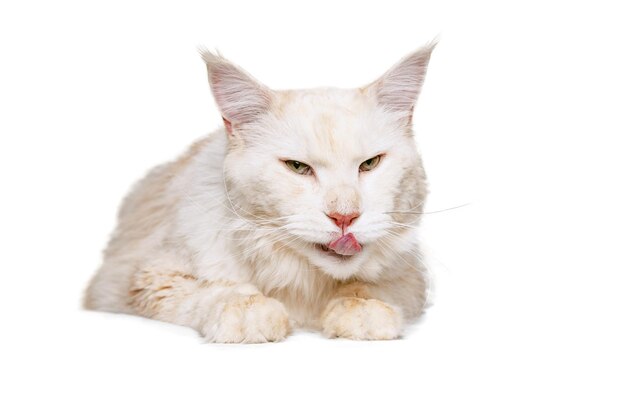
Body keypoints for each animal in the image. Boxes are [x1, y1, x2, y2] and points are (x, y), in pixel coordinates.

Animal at [84, 43, 434, 342]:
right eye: (297, 167)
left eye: (370, 164)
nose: (344, 217)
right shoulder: (140, 276)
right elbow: (212, 291)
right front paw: (249, 311)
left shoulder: (410, 278)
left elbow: (368, 288)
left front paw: (361, 310)